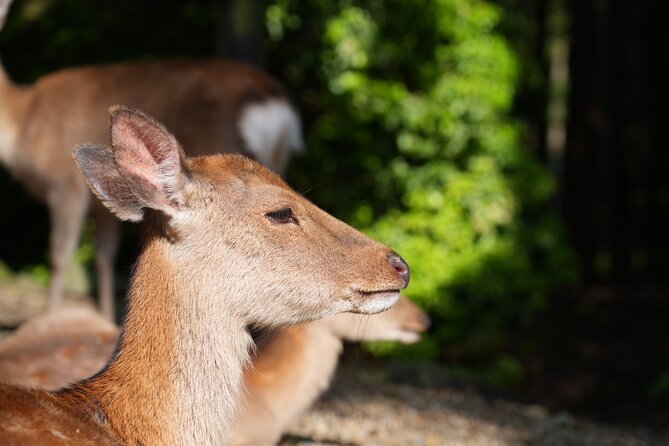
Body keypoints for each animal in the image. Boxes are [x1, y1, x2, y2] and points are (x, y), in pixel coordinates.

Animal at [0, 0, 303, 320]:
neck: (21, 122)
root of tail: (279, 108)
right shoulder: (100, 202)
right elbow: (104, 255)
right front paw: (106, 319)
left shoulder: (64, 182)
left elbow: (61, 254)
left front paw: (51, 318)